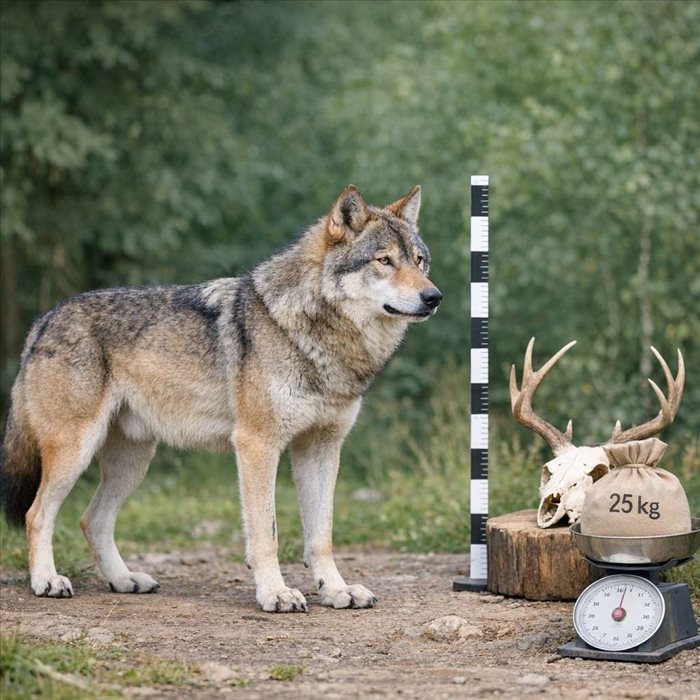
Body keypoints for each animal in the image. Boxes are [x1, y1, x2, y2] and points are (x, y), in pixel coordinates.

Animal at [0, 185, 441, 612]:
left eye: (420, 261)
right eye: (384, 260)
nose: (434, 296)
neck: (314, 333)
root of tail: (43, 320)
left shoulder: (322, 447)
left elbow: (321, 537)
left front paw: (336, 591)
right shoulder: (256, 445)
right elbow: (266, 533)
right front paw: (276, 594)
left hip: (133, 461)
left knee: (92, 520)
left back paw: (124, 580)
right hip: (76, 451)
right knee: (37, 514)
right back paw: (47, 582)